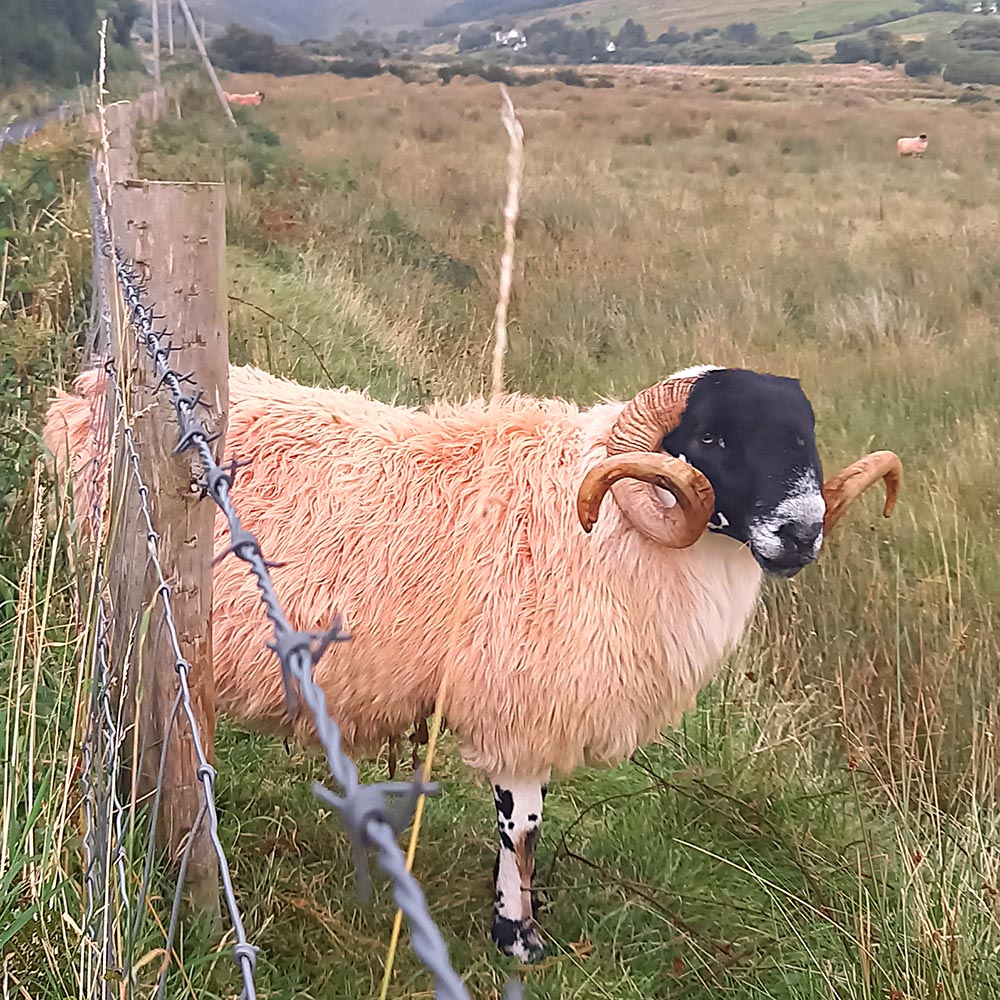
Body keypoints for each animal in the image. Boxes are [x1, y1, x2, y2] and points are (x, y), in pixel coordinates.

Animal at [43, 362, 901, 963]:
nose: (801, 533)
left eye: (804, 436)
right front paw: (517, 935)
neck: (608, 528)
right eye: (715, 438)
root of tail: (82, 397)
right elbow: (522, 825)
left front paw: (520, 912)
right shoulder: (516, 702)